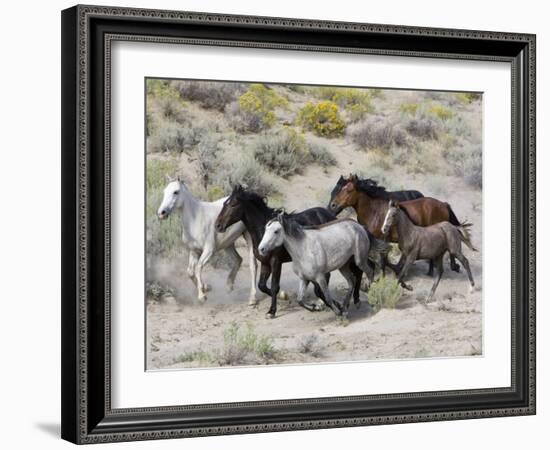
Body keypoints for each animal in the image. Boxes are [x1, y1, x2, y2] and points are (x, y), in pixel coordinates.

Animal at [216, 185, 388, 318]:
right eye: (224, 203)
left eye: (233, 204)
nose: (218, 225)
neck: (261, 232)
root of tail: (330, 214)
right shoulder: (265, 263)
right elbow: (262, 285)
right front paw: (285, 298)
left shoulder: (276, 262)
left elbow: (274, 286)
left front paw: (272, 310)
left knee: (360, 270)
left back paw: (355, 299)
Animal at [330, 175, 464, 274]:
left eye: (348, 189)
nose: (332, 205)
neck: (373, 211)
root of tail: (444, 205)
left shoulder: (381, 240)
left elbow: (382, 261)